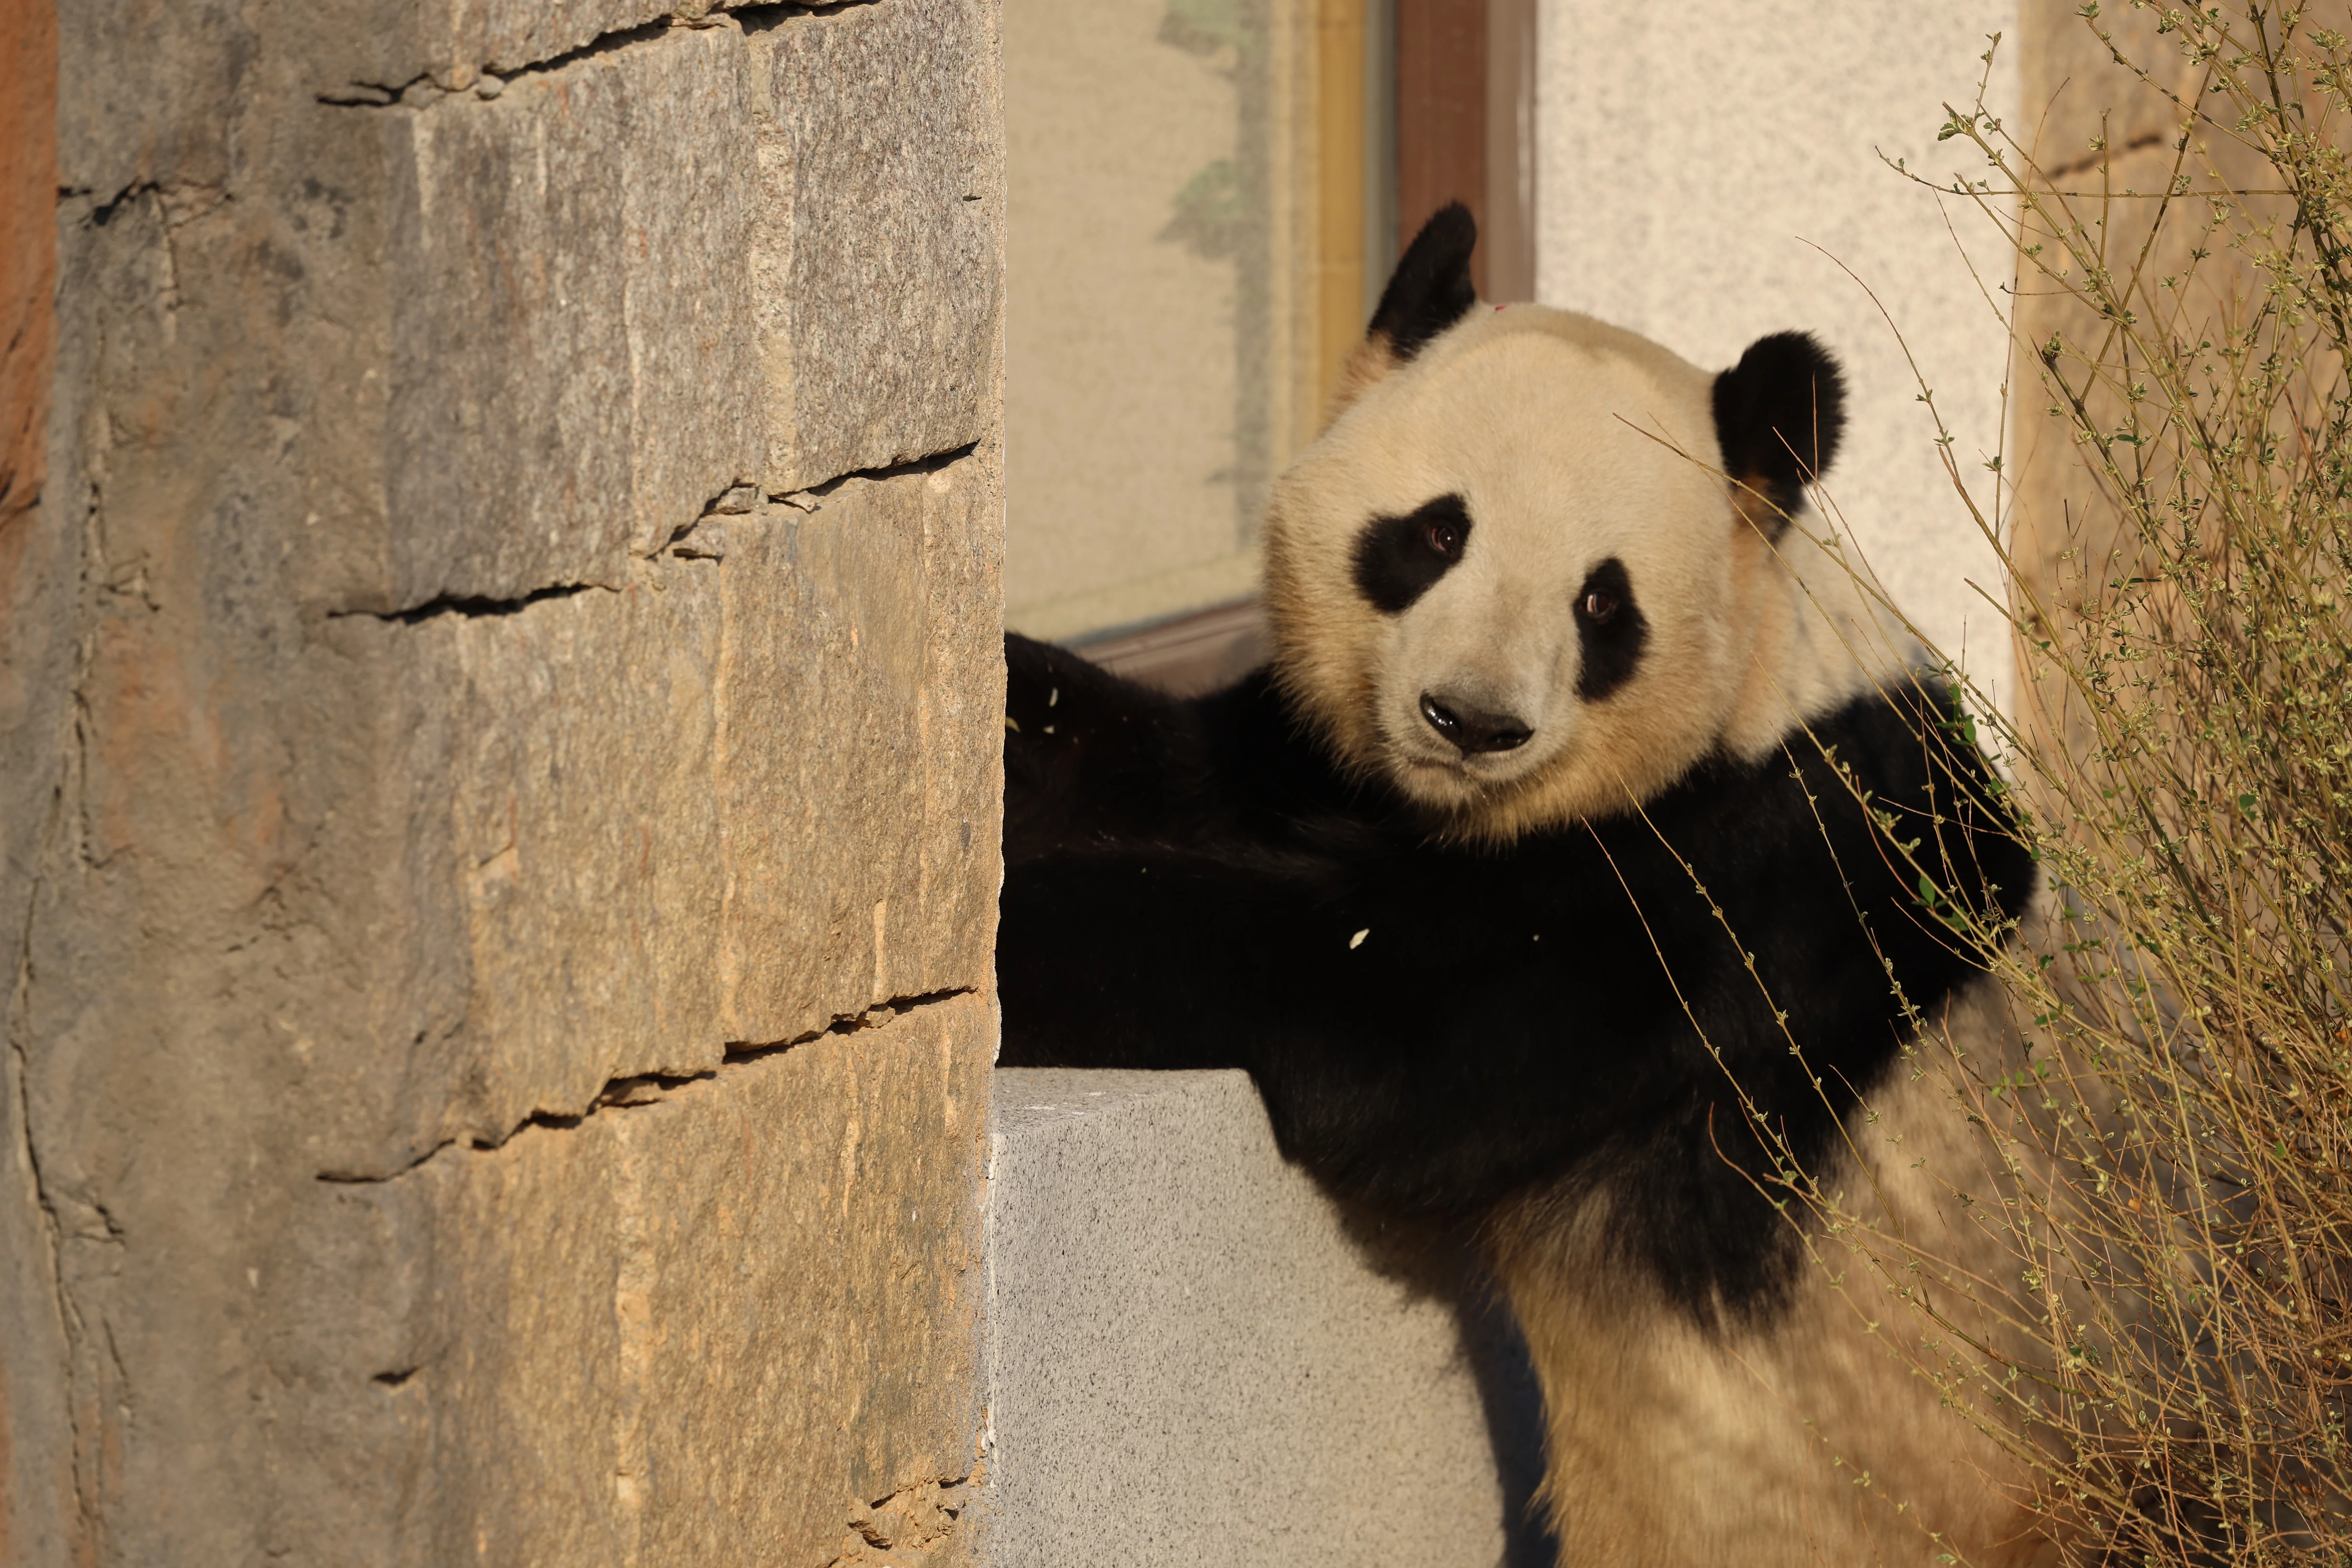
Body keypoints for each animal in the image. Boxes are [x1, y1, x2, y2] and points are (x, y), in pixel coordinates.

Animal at [997, 204, 2051, 1568]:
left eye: (1603, 601)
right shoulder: (1317, 768)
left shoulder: (1765, 871)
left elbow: (1381, 1018)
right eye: (1435, 532)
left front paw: (1013, 932)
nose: (1471, 720)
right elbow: (1165, 762)